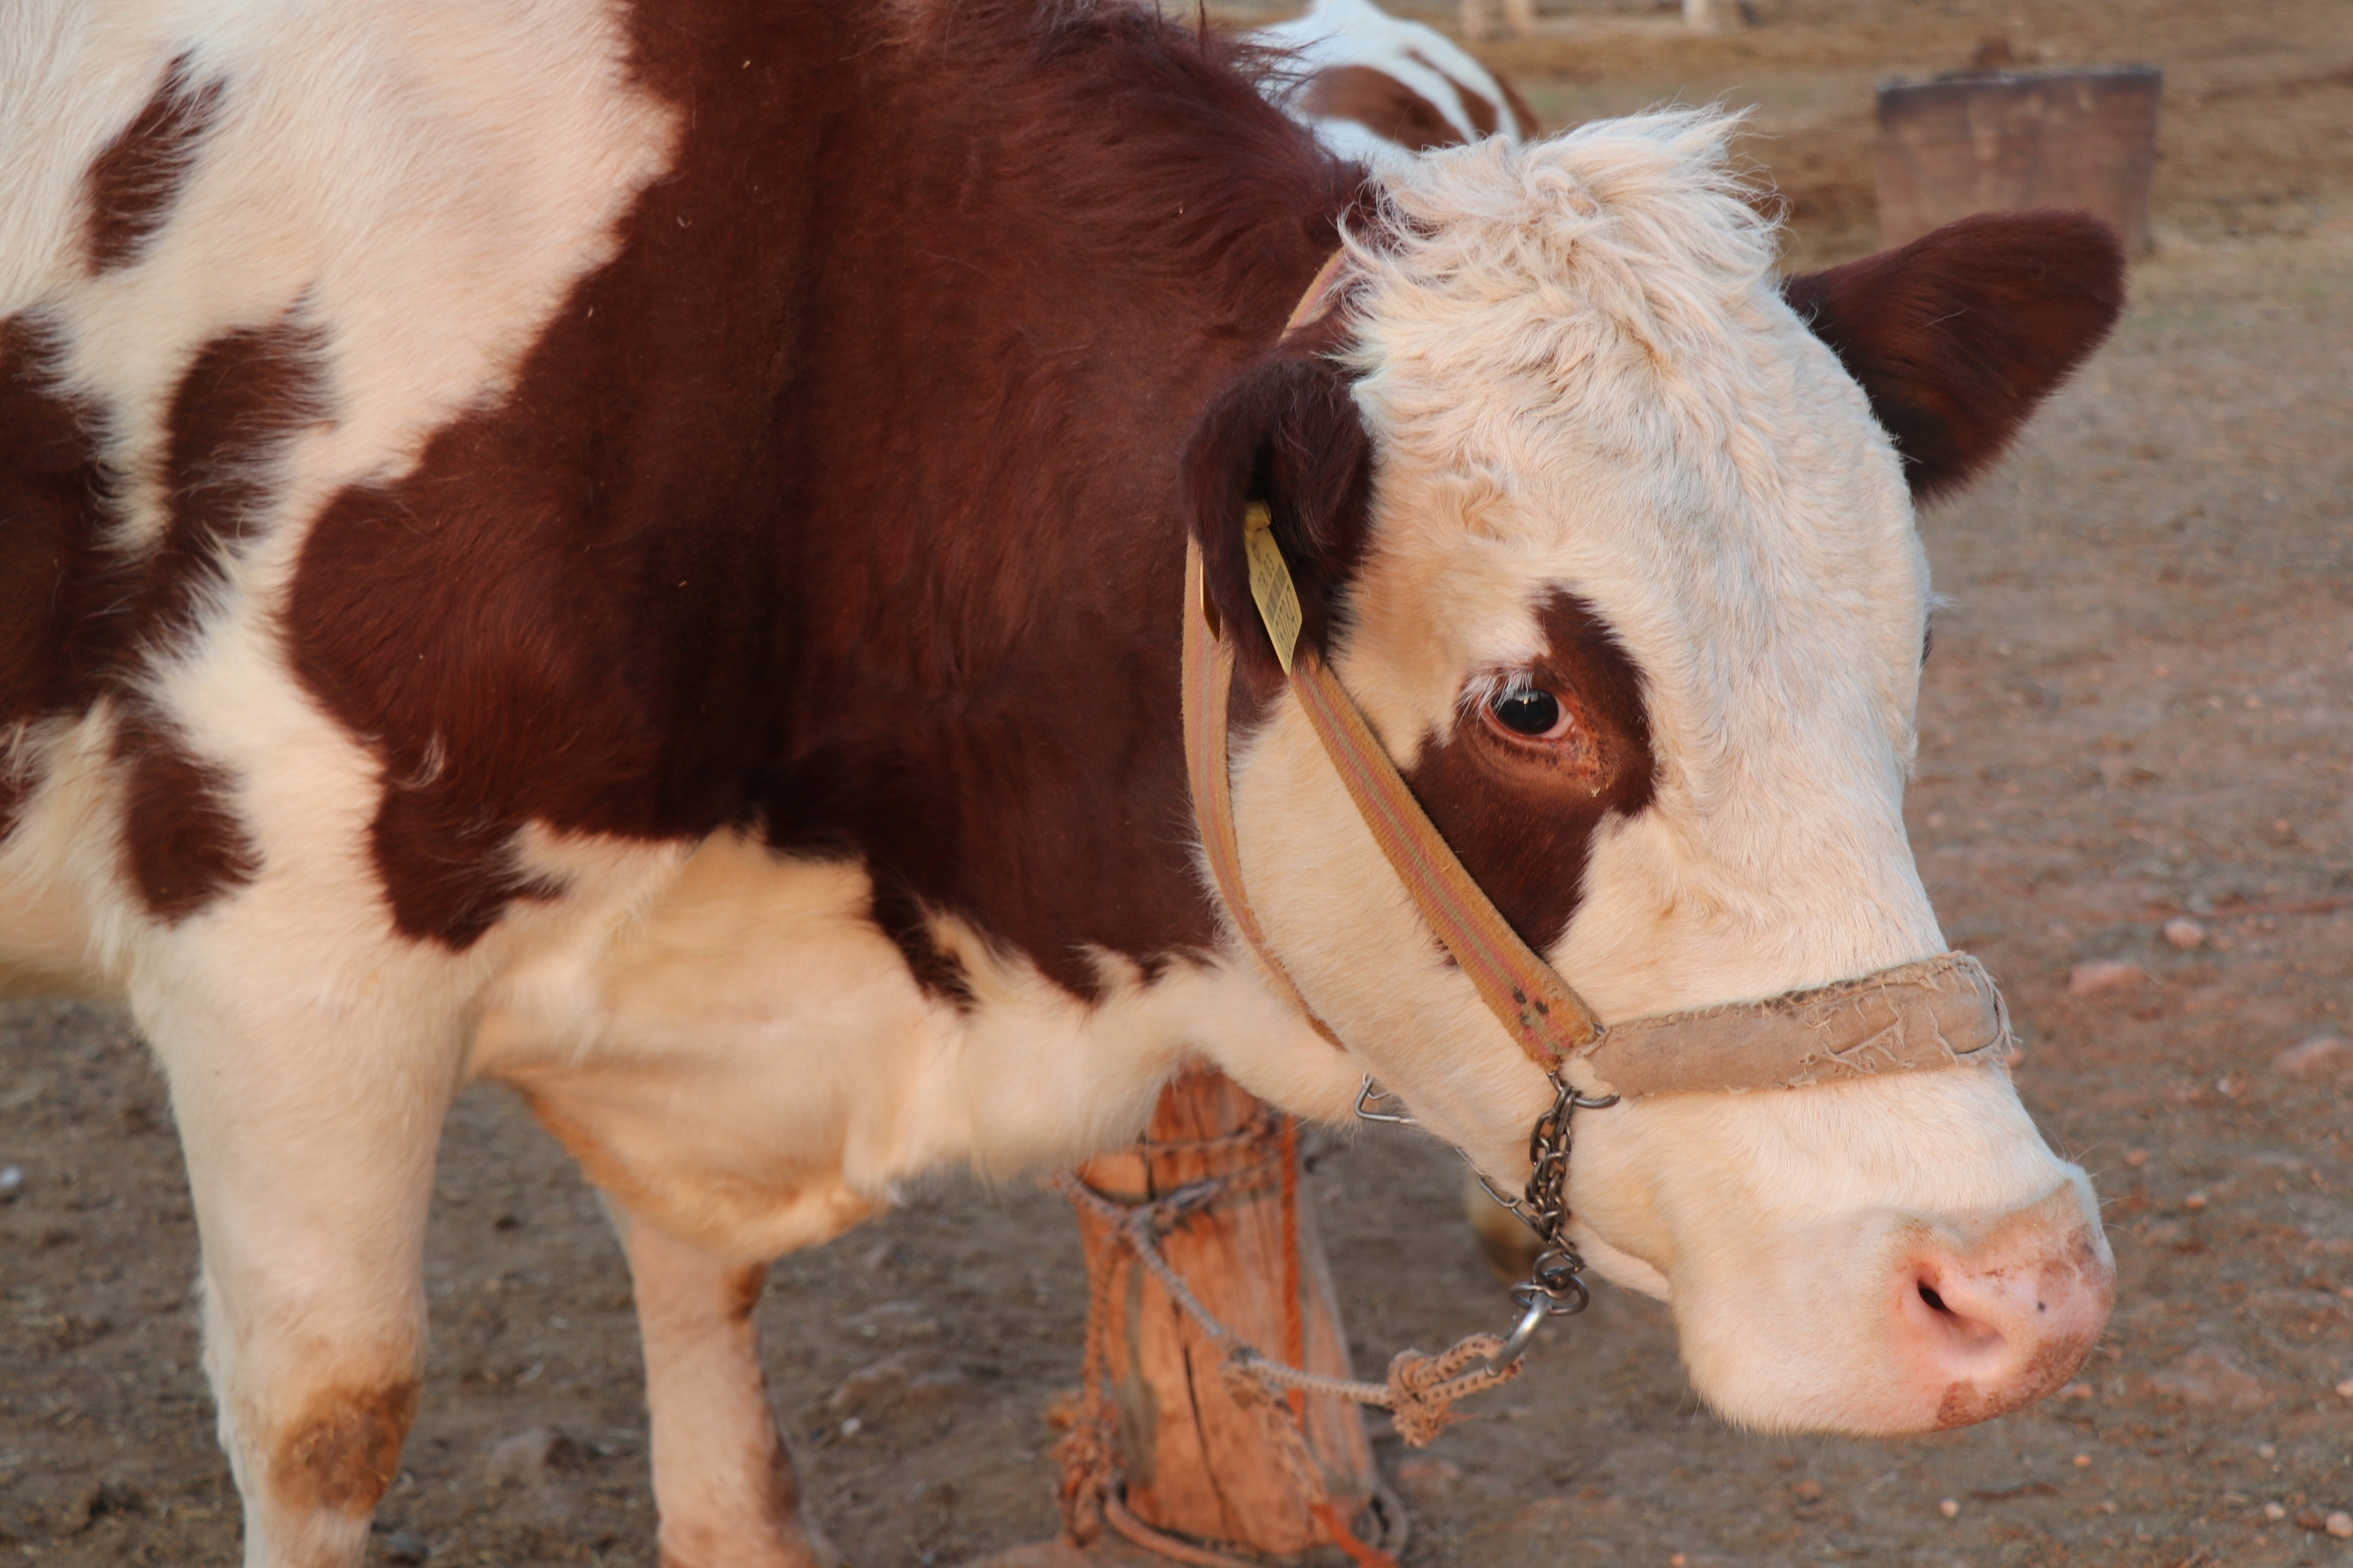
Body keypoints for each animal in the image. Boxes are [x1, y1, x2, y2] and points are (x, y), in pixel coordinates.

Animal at [0, 3, 2126, 1568]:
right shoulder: (273, 951)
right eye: (1526, 703)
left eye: (1905, 637)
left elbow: (719, 1394)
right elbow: (330, 1401)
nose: (2007, 1283)